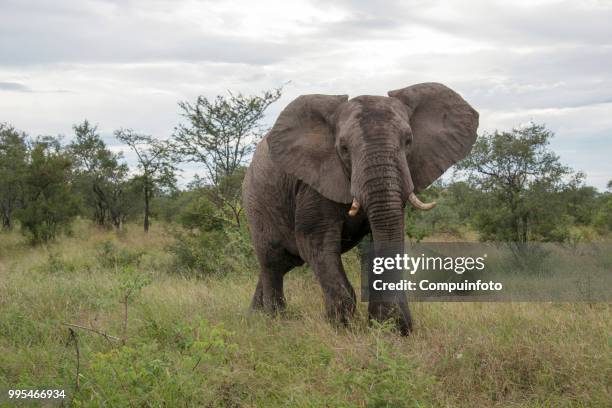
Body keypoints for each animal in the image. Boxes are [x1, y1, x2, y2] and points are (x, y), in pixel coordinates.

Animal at [243, 83, 478, 334]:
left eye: (408, 141)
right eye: (344, 148)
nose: (397, 325)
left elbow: (387, 236)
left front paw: (389, 328)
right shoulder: (314, 182)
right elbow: (316, 242)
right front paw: (342, 328)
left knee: (281, 264)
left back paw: (254, 316)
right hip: (256, 202)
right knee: (272, 261)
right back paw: (273, 321)